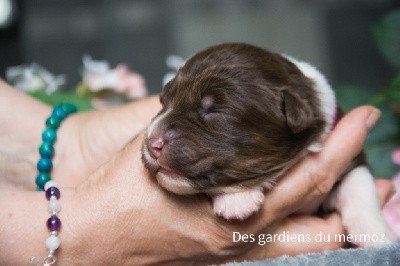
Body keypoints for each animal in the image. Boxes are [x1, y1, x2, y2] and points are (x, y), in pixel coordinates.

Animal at [142, 43, 396, 245]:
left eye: (215, 111)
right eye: (164, 102)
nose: (152, 143)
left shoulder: (352, 159)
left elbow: (359, 189)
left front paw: (378, 235)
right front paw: (237, 200)